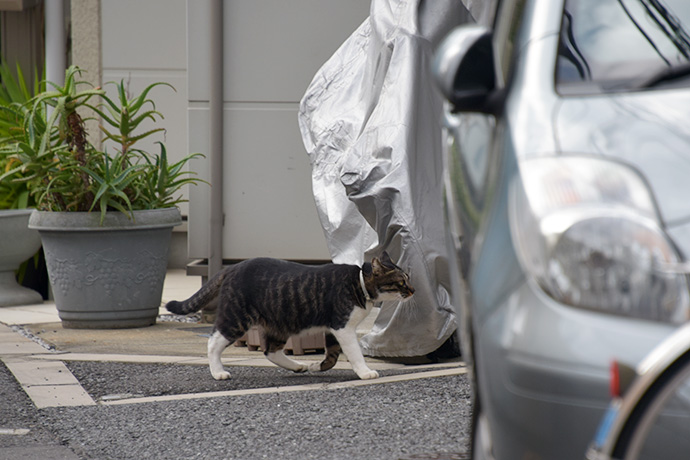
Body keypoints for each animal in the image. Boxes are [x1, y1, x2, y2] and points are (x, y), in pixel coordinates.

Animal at [165, 253, 414, 380]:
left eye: (409, 279)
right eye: (401, 282)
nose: (413, 290)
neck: (358, 283)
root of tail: (231, 268)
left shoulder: (331, 329)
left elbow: (332, 356)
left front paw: (316, 366)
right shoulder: (343, 327)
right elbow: (354, 353)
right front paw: (365, 372)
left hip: (280, 323)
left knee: (270, 351)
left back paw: (297, 366)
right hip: (237, 317)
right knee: (213, 342)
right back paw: (218, 372)